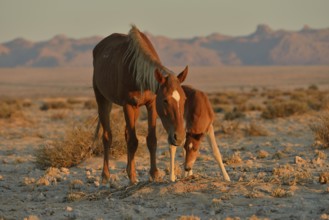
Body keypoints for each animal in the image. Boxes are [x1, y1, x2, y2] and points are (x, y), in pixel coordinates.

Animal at [93, 24, 187, 185]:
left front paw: (154, 174)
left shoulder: (151, 104)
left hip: (135, 108)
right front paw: (132, 177)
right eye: (165, 100)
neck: (138, 72)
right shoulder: (128, 105)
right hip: (103, 99)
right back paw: (105, 176)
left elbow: (151, 140)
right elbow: (133, 142)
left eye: (185, 99)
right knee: (107, 136)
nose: (179, 137)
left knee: (125, 134)